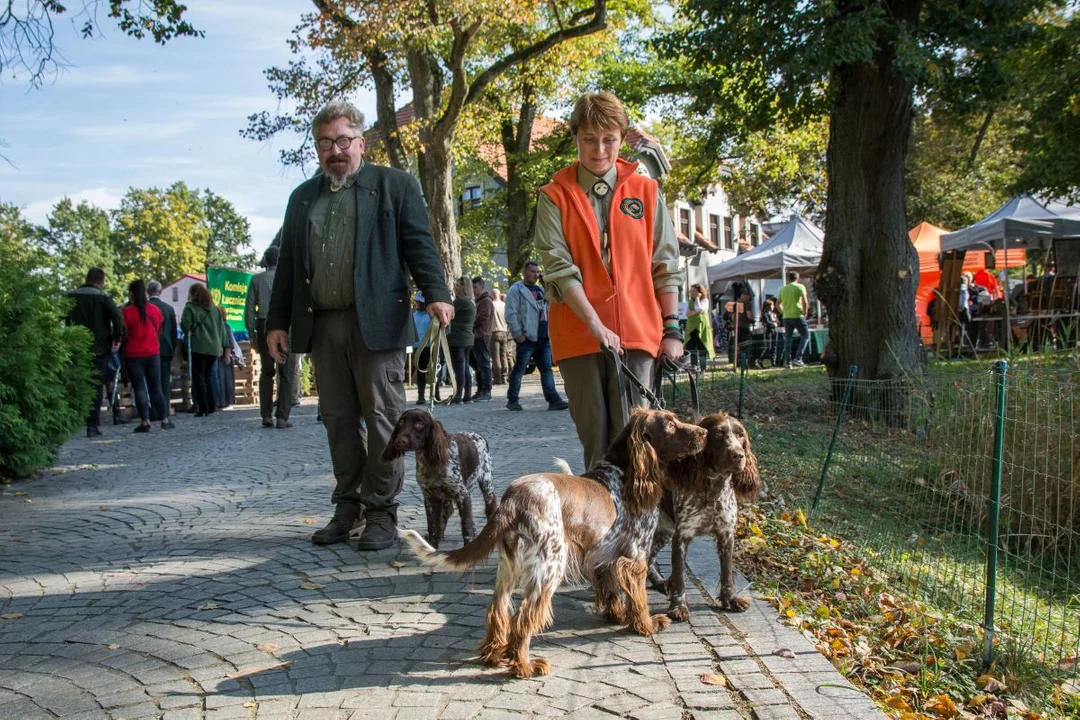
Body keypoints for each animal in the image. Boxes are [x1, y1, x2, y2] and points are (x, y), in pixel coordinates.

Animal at [380, 408, 496, 548]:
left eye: (419, 424)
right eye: (401, 422)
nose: (399, 441)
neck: (429, 460)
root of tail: (478, 435)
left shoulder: (462, 495)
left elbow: (466, 527)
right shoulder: (430, 497)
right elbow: (433, 527)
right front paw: (432, 547)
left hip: (486, 483)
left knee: (490, 506)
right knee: (448, 511)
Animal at [401, 410, 704, 682]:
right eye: (671, 424)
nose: (703, 432)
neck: (625, 473)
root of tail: (512, 499)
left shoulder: (604, 555)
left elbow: (611, 591)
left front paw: (617, 617)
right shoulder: (635, 556)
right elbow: (638, 598)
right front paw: (647, 625)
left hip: (509, 568)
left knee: (498, 610)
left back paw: (494, 654)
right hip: (550, 567)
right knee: (522, 619)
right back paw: (523, 666)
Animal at [648, 414, 760, 621]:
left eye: (741, 435)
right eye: (718, 434)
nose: (738, 455)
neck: (714, 488)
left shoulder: (726, 534)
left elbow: (727, 572)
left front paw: (731, 599)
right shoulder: (682, 536)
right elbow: (680, 575)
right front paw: (679, 606)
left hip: (663, 531)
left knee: (648, 558)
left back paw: (660, 582)